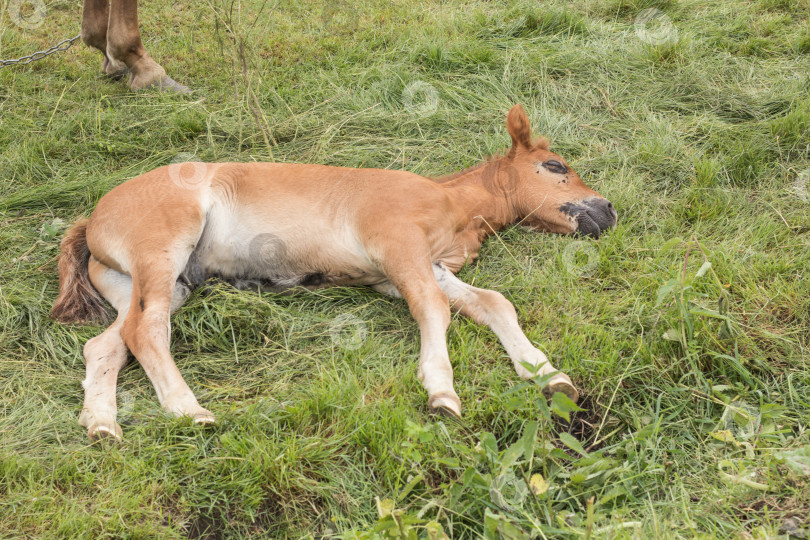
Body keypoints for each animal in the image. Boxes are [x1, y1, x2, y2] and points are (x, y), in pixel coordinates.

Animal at [50, 104, 616, 438]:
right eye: (556, 167)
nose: (607, 210)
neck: (453, 203)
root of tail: (93, 218)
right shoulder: (398, 247)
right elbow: (433, 308)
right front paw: (441, 392)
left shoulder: (421, 266)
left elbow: (492, 303)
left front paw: (548, 375)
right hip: (163, 251)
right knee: (148, 330)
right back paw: (190, 412)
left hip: (155, 282)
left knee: (110, 342)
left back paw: (101, 425)